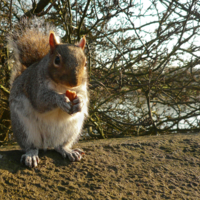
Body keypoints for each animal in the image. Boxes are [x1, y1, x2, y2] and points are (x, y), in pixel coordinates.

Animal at [7, 17, 88, 167]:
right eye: (57, 60)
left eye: (85, 63)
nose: (74, 82)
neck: (62, 87)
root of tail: (47, 142)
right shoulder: (35, 86)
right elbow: (41, 100)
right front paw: (60, 100)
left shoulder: (82, 87)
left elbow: (84, 97)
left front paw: (80, 101)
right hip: (25, 128)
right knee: (31, 145)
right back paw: (31, 155)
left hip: (71, 130)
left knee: (60, 146)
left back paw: (68, 151)